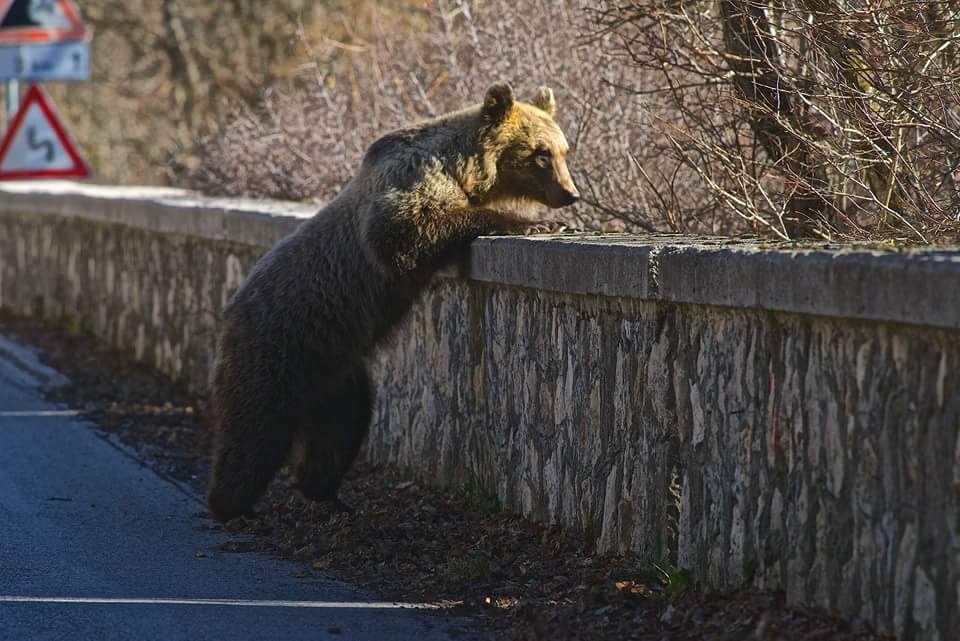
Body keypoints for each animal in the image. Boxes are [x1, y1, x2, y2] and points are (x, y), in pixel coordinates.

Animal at [206, 82, 579, 523]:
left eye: (564, 149)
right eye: (541, 153)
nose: (571, 194)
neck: (465, 170)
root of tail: (233, 306)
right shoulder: (410, 183)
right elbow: (408, 228)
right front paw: (537, 222)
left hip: (337, 374)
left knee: (341, 428)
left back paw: (325, 492)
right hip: (279, 343)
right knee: (254, 426)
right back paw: (232, 504)